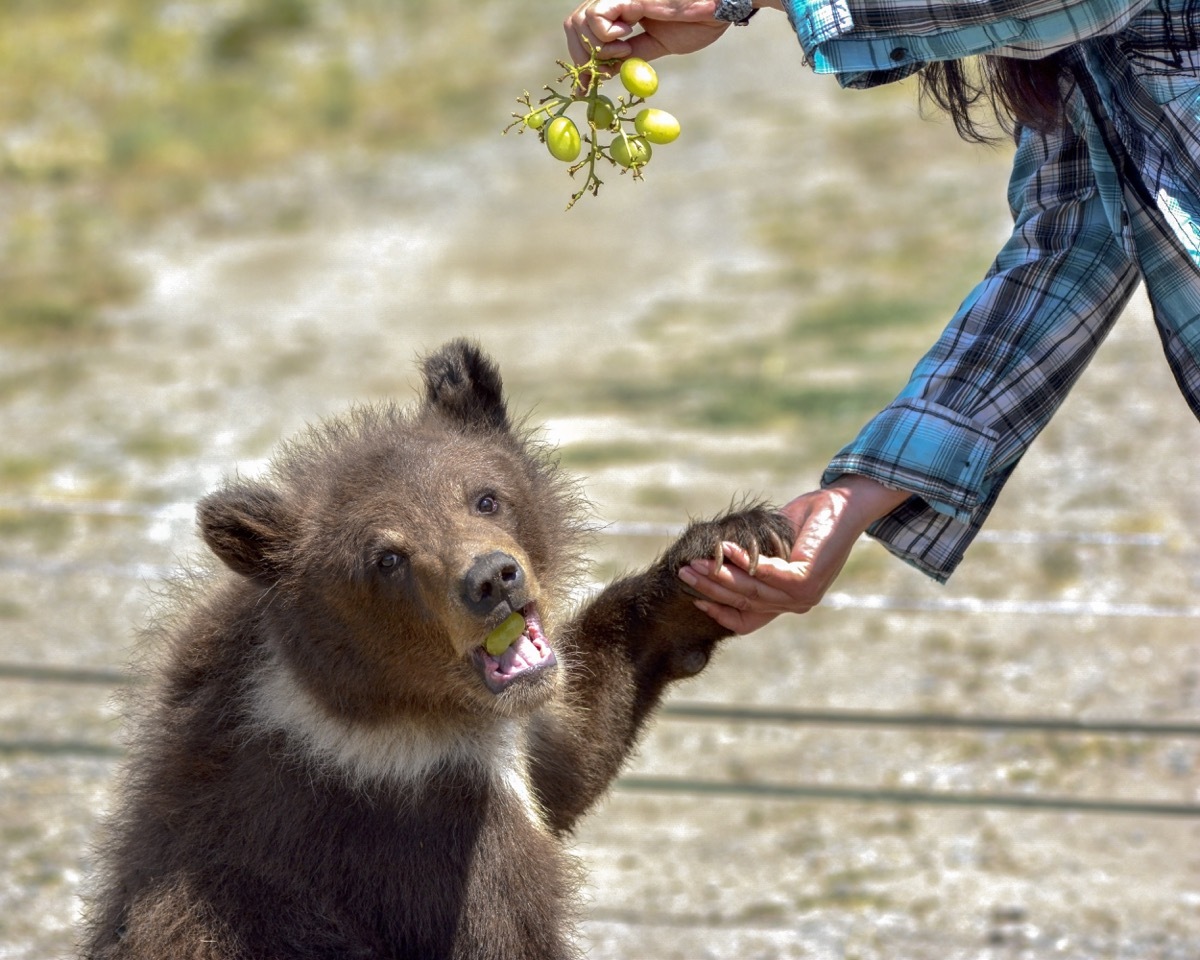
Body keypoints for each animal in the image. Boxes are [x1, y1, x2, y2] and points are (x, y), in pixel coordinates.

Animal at [79, 338, 792, 960]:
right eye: (387, 557)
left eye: (485, 497)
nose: (493, 578)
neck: (403, 713)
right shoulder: (411, 832)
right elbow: (506, 924)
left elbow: (570, 749)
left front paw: (730, 549)